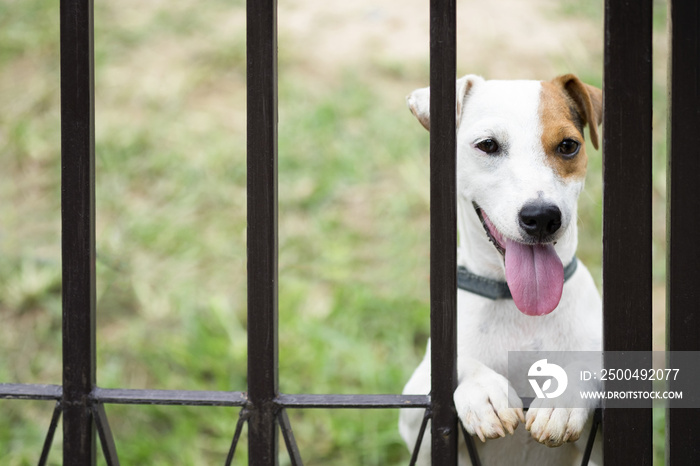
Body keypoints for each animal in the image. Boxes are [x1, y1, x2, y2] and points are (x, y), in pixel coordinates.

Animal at [402, 74, 604, 464]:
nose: (542, 216)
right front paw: (482, 389)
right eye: (488, 145)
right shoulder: (417, 414)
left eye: (568, 146)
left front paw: (563, 395)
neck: (518, 307)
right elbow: (456, 366)